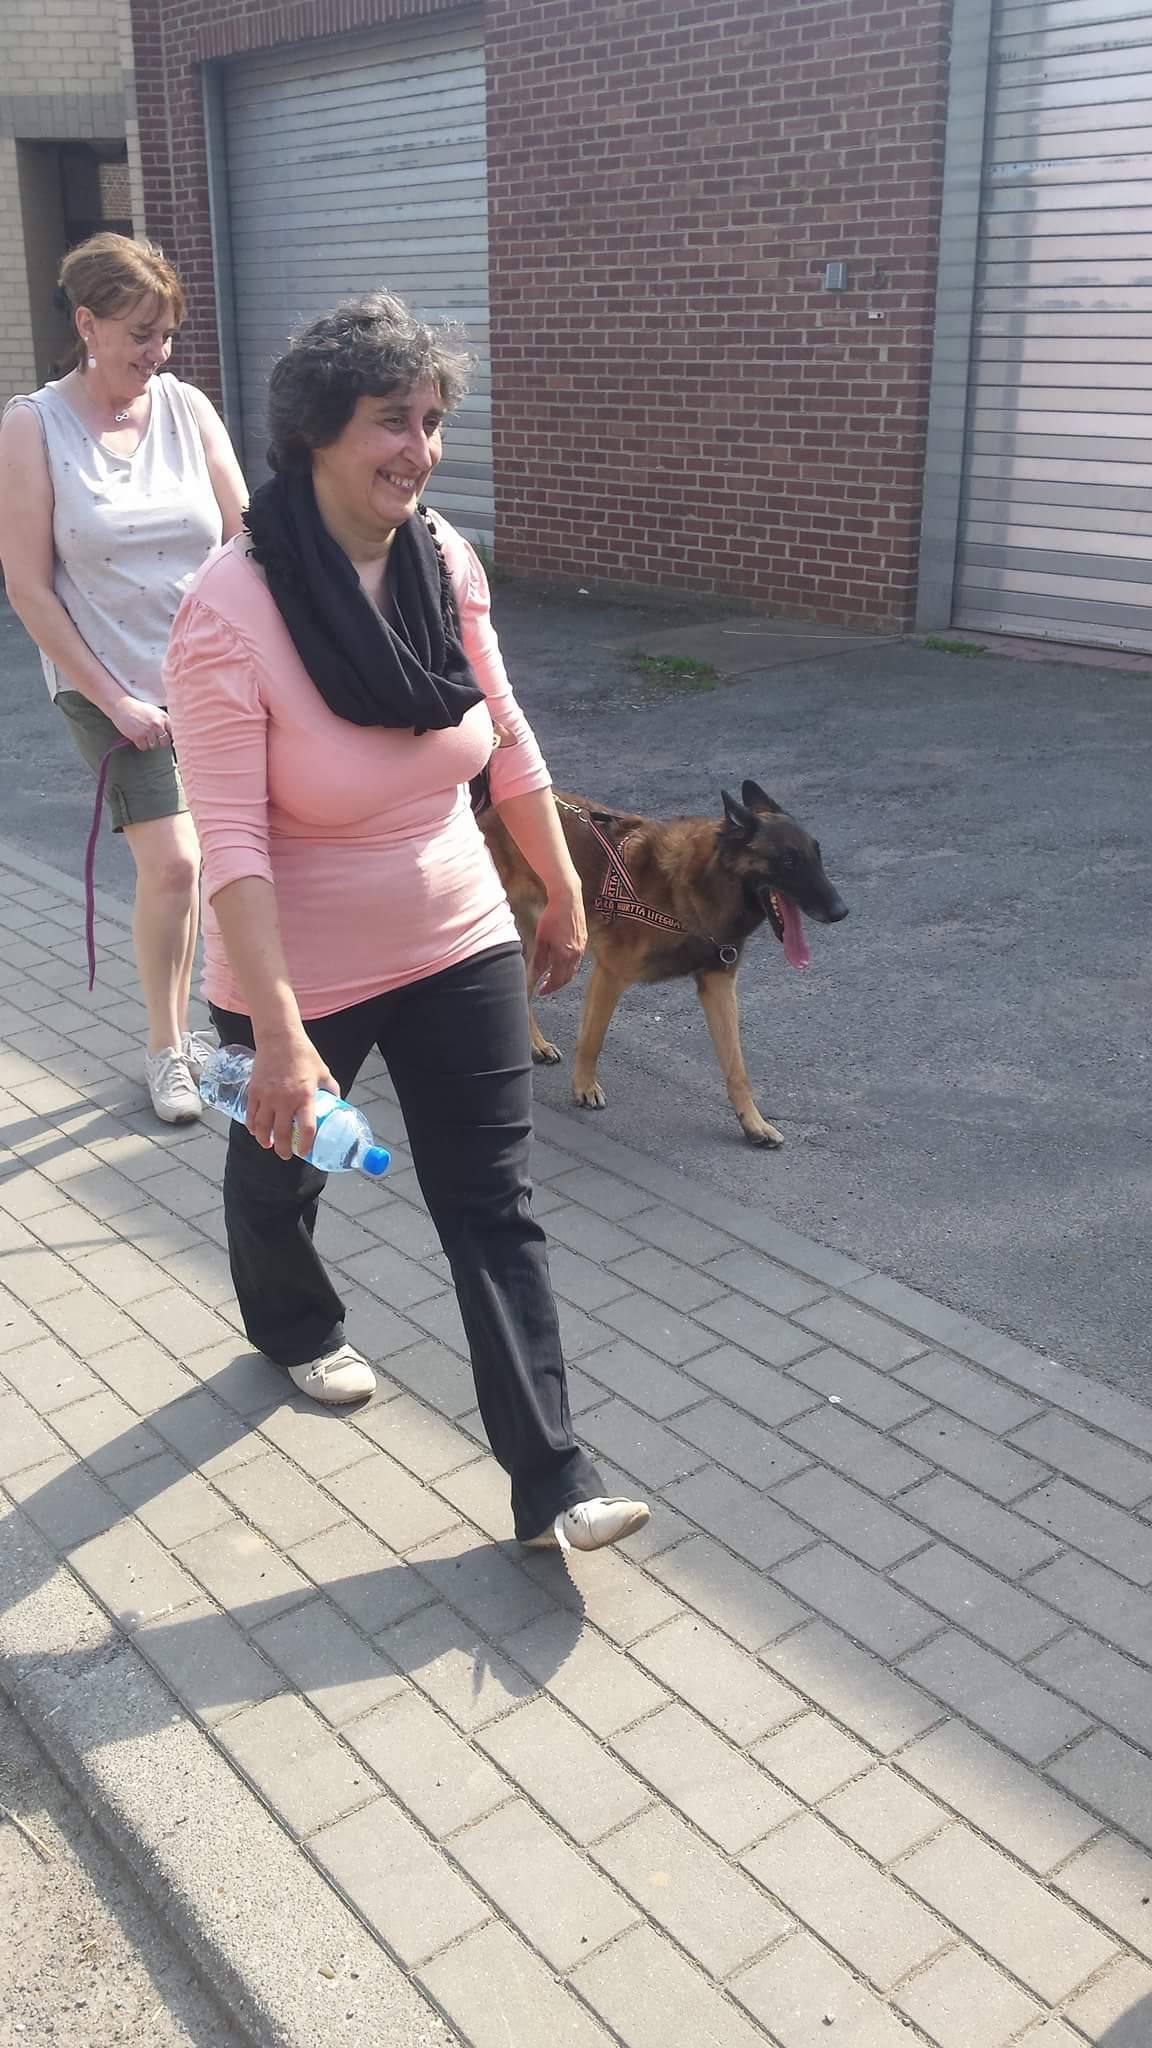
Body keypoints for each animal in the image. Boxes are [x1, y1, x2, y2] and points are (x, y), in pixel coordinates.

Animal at [479, 779, 848, 1146]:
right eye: (789, 861)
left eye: (817, 856)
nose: (841, 911)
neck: (702, 884)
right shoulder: (610, 974)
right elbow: (592, 1040)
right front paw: (584, 1087)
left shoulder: (718, 986)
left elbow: (737, 1068)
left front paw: (753, 1122)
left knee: (525, 990)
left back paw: (535, 1044)